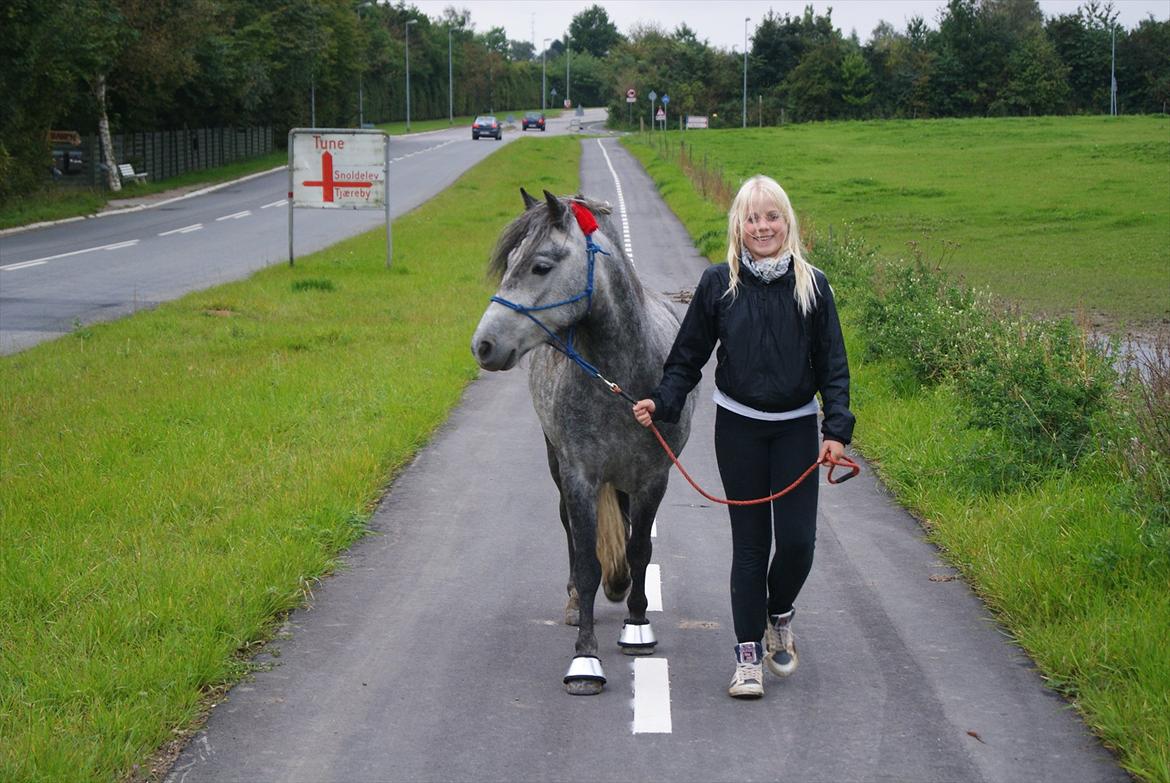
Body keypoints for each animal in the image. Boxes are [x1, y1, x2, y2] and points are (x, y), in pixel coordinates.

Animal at [470, 189, 692, 697]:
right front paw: (585, 660)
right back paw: (575, 601)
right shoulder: (579, 478)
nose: (483, 345)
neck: (621, 377)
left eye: (540, 266)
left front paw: (637, 626)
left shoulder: (653, 478)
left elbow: (640, 550)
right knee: (571, 534)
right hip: (558, 466)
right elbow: (588, 562)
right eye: (510, 260)